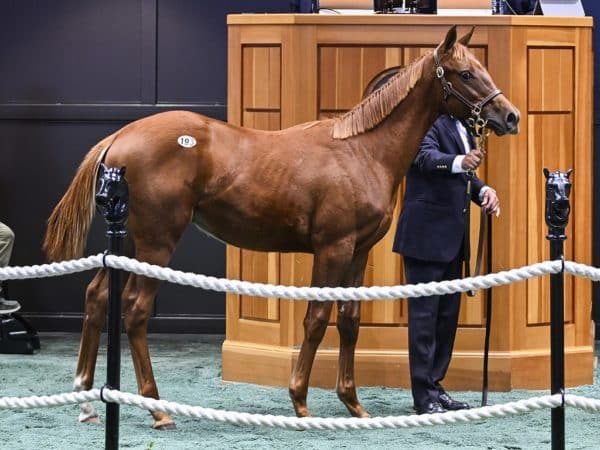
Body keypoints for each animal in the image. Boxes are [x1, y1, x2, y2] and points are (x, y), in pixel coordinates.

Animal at [43, 26, 520, 428]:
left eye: (482, 69)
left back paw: (87, 402)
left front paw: (353, 404)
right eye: (465, 73)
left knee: (97, 298)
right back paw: (158, 410)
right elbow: (316, 319)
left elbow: (349, 321)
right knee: (136, 310)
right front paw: (301, 401)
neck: (362, 151)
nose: (510, 116)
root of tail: (119, 138)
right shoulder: (333, 248)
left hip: (124, 244)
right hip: (156, 244)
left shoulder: (359, 252)